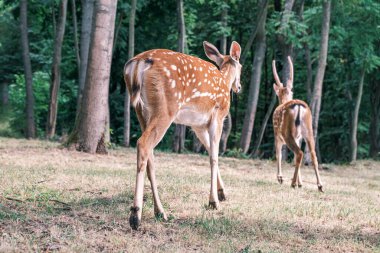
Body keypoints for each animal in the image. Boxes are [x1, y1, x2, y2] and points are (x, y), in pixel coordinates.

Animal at [124, 41, 243, 229]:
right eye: (241, 66)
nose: (238, 87)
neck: (224, 79)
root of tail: (138, 62)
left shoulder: (198, 125)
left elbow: (210, 151)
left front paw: (222, 193)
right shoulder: (217, 116)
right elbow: (214, 157)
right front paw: (214, 201)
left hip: (141, 110)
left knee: (150, 156)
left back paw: (160, 211)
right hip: (166, 107)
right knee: (142, 144)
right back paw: (136, 216)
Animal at [272, 56, 322, 192]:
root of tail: (299, 106)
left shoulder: (277, 135)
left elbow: (278, 154)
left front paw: (280, 178)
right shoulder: (298, 138)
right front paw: (301, 183)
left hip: (287, 133)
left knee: (299, 153)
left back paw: (293, 183)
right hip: (309, 131)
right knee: (312, 155)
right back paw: (320, 185)